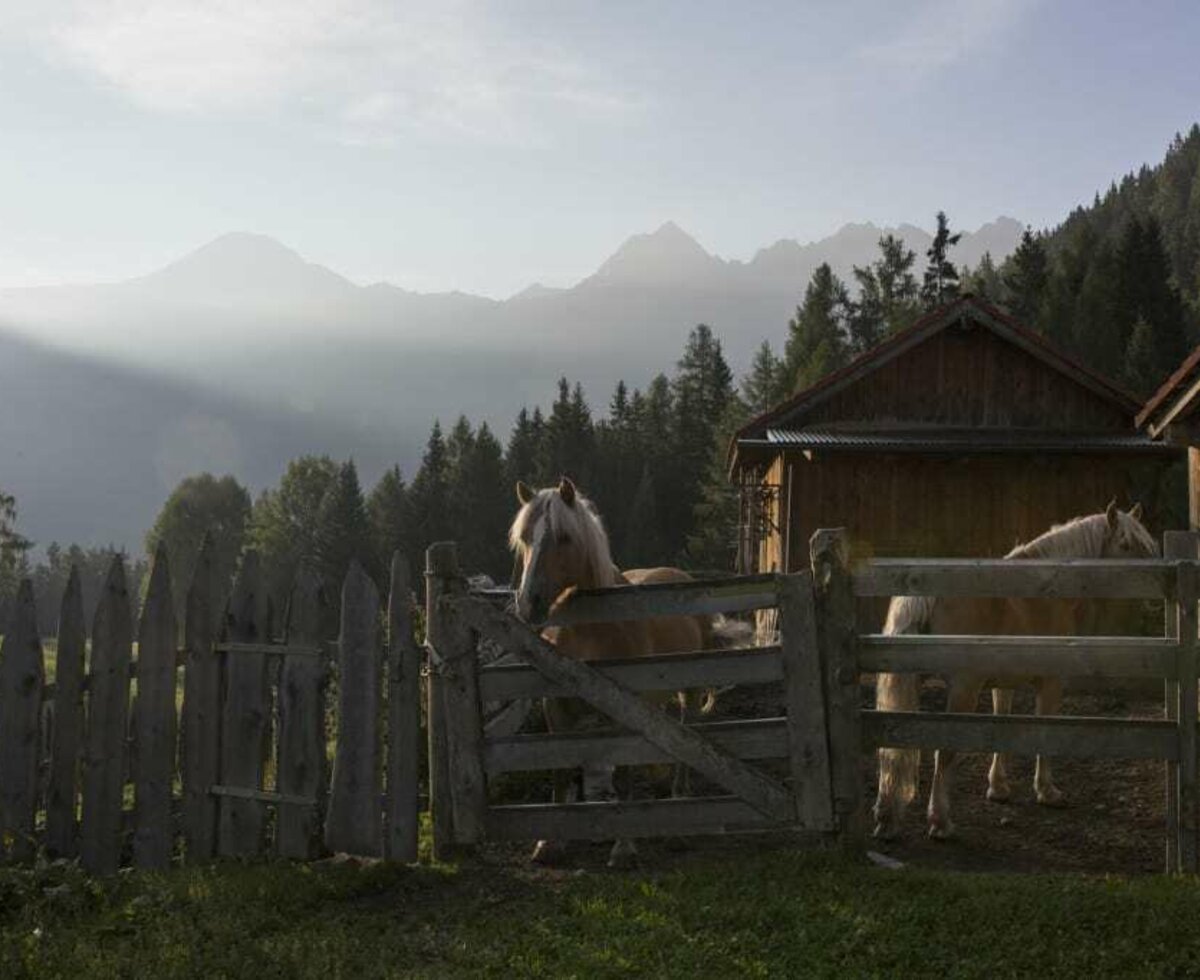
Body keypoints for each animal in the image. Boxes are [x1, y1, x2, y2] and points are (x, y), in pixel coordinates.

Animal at [511, 475, 744, 863]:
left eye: (565, 537)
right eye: (525, 537)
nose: (530, 603)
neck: (590, 629)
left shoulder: (625, 710)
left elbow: (624, 772)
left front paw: (623, 846)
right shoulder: (556, 706)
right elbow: (560, 767)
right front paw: (549, 842)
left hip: (690, 692)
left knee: (688, 740)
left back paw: (680, 805)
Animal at [873, 501, 1161, 839]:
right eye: (1126, 544)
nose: (1157, 587)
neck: (1044, 593)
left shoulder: (1003, 683)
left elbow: (1002, 729)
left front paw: (998, 788)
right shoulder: (1051, 682)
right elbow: (1044, 734)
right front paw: (1047, 792)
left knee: (892, 749)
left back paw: (887, 816)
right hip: (963, 689)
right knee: (943, 751)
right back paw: (940, 821)